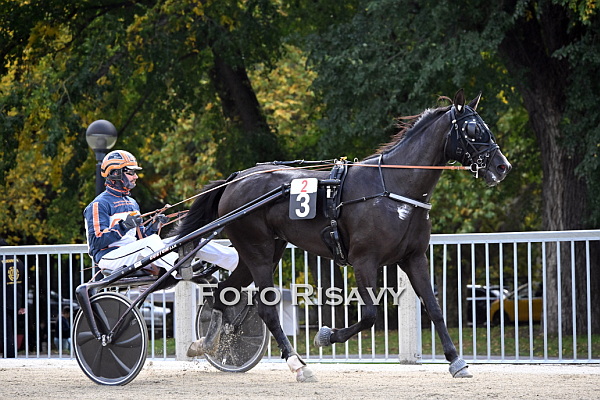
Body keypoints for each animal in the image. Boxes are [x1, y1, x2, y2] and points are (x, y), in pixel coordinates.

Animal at [176, 89, 511, 381]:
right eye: (473, 129)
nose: (502, 166)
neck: (394, 187)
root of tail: (235, 179)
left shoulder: (413, 257)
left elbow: (434, 308)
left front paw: (456, 361)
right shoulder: (364, 261)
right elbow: (371, 314)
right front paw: (325, 336)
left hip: (263, 252)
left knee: (223, 294)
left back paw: (206, 343)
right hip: (256, 250)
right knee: (266, 309)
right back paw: (298, 365)